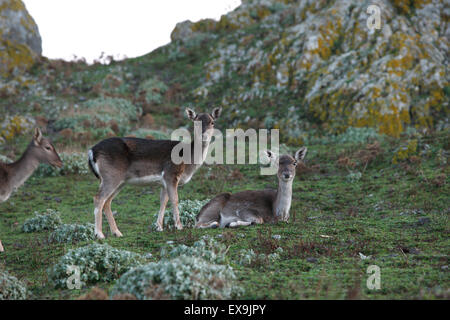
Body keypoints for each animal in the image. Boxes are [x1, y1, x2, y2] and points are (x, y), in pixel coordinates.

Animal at [87, 107, 221, 238]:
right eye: (195, 122)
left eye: (212, 122)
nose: (204, 136)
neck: (188, 163)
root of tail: (92, 151)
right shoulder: (170, 174)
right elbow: (175, 199)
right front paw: (179, 227)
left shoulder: (164, 182)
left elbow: (163, 201)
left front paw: (159, 227)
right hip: (111, 176)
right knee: (98, 198)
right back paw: (99, 234)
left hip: (119, 181)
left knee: (107, 202)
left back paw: (117, 232)